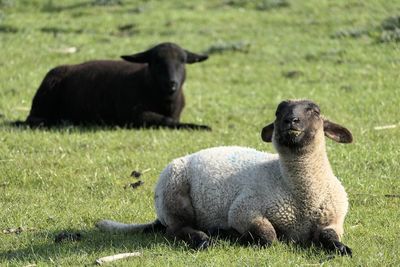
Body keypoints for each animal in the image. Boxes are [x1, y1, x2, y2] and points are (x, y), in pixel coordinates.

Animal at [97, 99, 354, 256]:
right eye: (278, 112)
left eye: (315, 111)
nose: (291, 121)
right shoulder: (244, 210)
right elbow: (269, 236)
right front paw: (241, 237)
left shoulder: (334, 219)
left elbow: (330, 236)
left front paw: (342, 249)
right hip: (173, 195)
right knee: (177, 229)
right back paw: (208, 237)